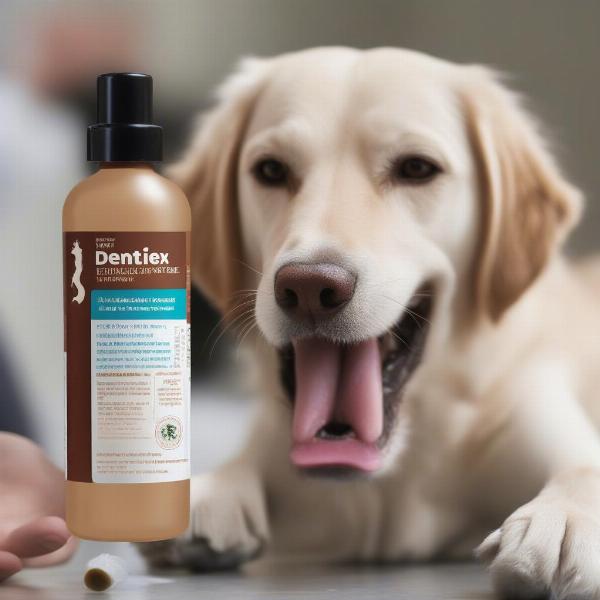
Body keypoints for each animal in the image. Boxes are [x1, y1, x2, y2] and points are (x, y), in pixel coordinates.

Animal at [142, 48, 600, 600]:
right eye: (271, 169)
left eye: (417, 168)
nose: (310, 288)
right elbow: (244, 463)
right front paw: (208, 493)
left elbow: (584, 469)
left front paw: (564, 519)